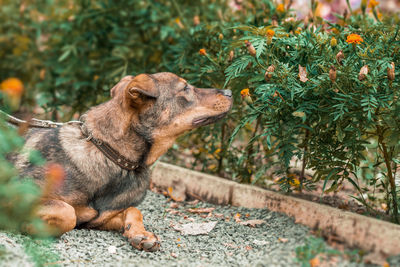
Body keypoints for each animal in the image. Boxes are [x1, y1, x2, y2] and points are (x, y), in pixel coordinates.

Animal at [10, 72, 233, 252]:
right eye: (185, 88)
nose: (230, 91)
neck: (109, 153)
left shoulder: (99, 220)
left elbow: (133, 210)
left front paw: (141, 234)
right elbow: (67, 211)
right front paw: (30, 225)